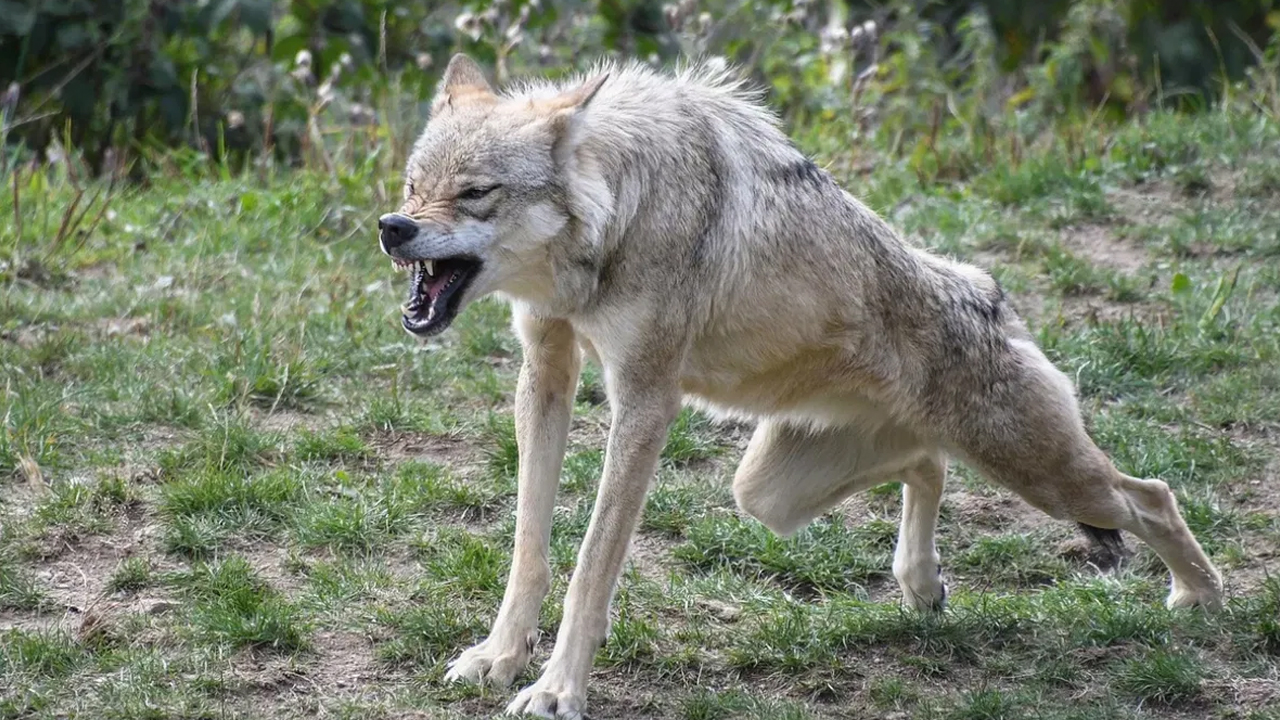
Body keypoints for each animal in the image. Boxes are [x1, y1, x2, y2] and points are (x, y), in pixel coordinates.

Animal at [376, 53, 1225, 718]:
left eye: (475, 193)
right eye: (414, 184)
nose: (392, 227)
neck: (619, 213)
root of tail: (990, 291)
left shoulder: (645, 401)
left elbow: (590, 564)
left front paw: (557, 691)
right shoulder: (545, 374)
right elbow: (530, 545)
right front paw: (499, 657)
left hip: (1046, 477)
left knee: (1151, 495)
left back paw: (1202, 600)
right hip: (768, 494)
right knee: (928, 463)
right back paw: (922, 585)